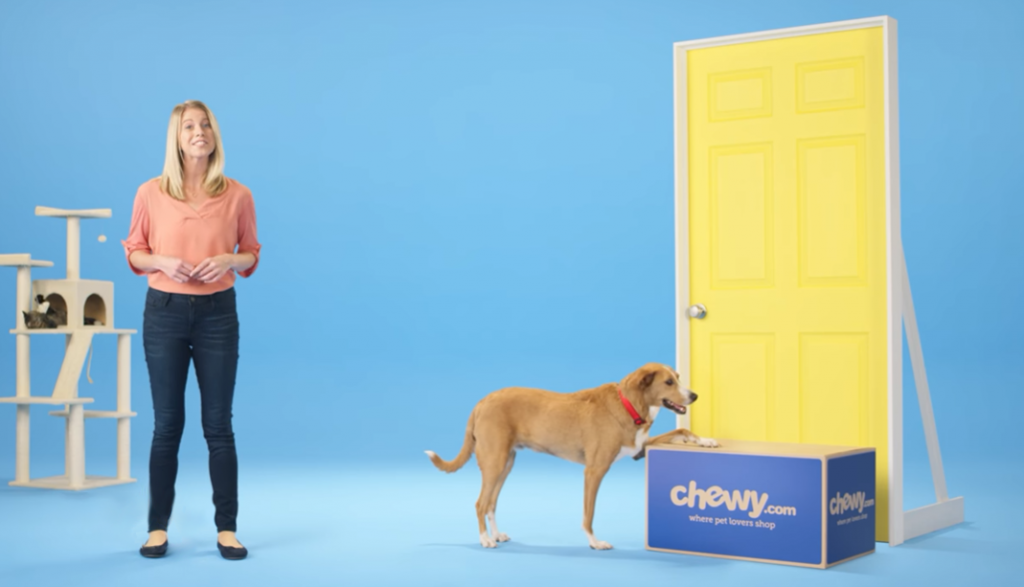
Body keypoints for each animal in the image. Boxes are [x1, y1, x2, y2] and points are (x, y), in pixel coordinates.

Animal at [425, 362, 720, 549]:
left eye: (678, 377)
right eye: (669, 382)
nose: (694, 395)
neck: (628, 404)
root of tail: (483, 400)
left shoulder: (641, 448)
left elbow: (682, 429)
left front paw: (706, 440)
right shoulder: (594, 471)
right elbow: (589, 514)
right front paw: (594, 542)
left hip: (505, 464)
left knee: (491, 504)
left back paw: (496, 535)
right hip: (494, 462)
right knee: (480, 503)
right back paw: (485, 539)